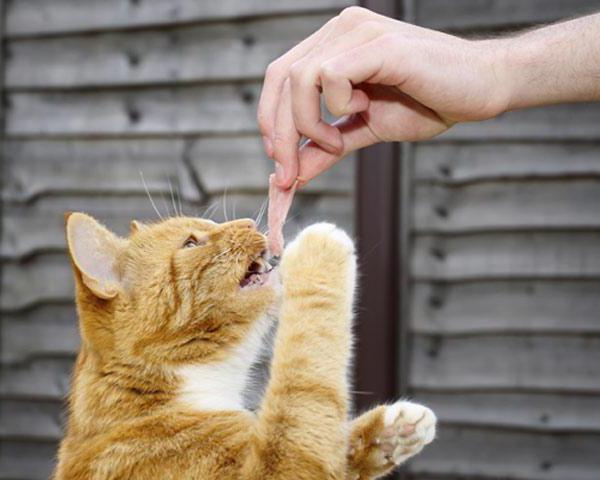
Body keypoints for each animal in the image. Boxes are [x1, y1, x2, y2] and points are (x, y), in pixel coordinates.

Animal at [55, 215, 436, 480]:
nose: (250, 223)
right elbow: (303, 382)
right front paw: (317, 251)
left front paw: (392, 432)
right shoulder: (279, 469)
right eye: (190, 243)